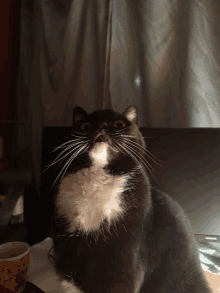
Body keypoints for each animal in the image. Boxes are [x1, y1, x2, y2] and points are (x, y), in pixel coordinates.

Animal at [48, 105, 211, 292]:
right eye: (86, 126)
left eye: (119, 124)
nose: (101, 125)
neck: (97, 178)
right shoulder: (68, 249)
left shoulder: (128, 250)